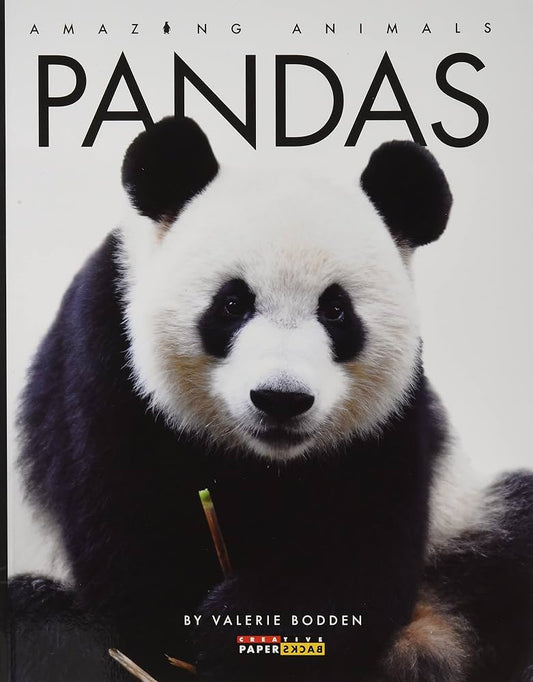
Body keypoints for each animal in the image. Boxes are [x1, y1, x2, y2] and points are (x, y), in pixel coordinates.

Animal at [9, 116, 533, 682]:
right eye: (232, 303)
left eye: (336, 310)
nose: (281, 400)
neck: (262, 462)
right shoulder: (103, 368)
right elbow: (131, 561)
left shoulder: (389, 422)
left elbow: (366, 554)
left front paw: (244, 625)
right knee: (42, 626)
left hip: (466, 523)